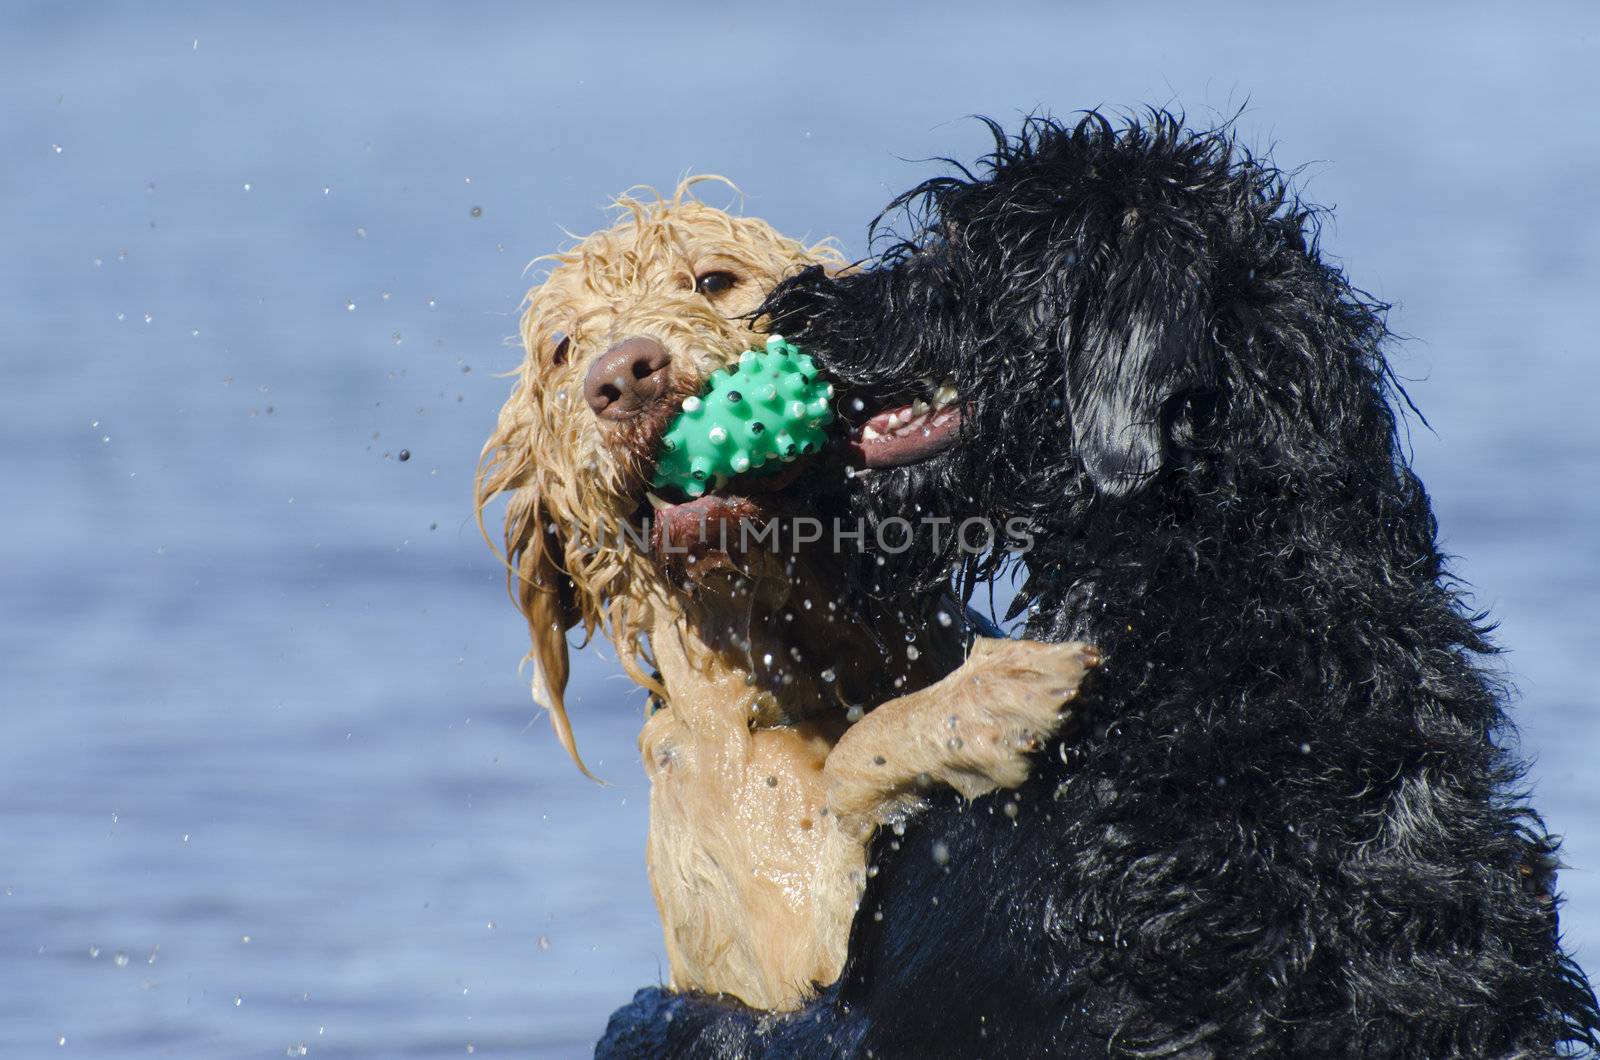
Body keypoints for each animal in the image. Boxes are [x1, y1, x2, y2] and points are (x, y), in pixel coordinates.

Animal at [473, 182, 1100, 1011]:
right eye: (563, 348)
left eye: (713, 279)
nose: (623, 376)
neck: (807, 660)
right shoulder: (801, 962)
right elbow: (850, 769)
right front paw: (994, 696)